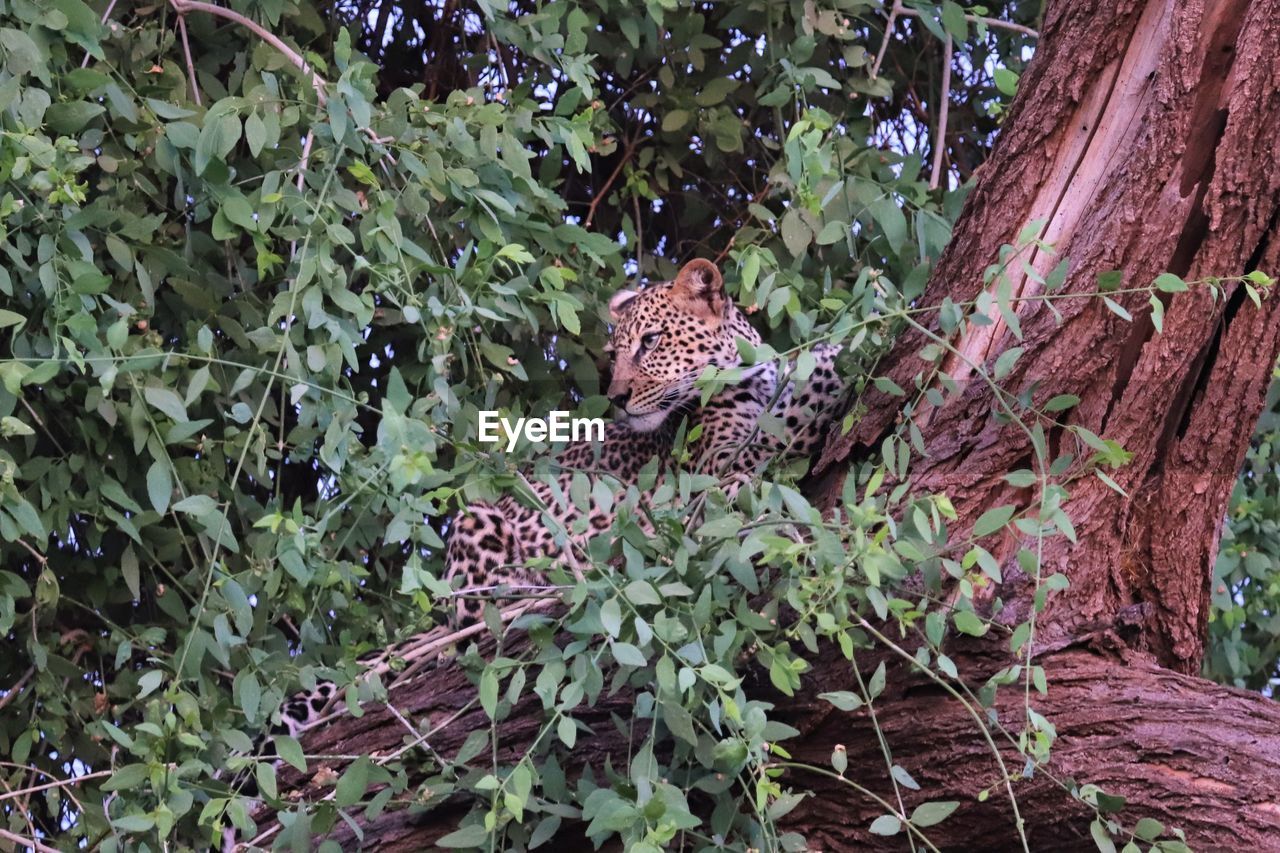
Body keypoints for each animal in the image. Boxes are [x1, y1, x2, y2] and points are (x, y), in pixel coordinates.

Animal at [267, 253, 849, 737]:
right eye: (615, 352)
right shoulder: (715, 475)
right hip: (477, 525)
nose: (616, 397)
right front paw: (832, 356)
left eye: (652, 342)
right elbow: (788, 427)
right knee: (475, 620)